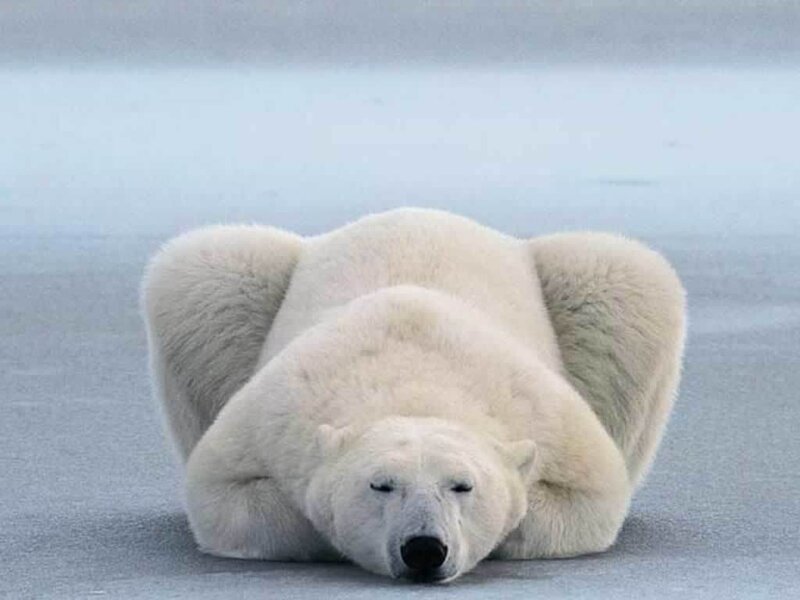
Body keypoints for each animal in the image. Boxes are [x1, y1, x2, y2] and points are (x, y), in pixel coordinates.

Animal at [141, 207, 686, 582]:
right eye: (381, 485)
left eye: (462, 485)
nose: (424, 549)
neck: (417, 382)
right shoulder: (276, 414)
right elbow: (225, 495)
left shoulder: (545, 417)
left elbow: (589, 497)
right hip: (238, 285)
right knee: (206, 269)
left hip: (592, 287)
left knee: (622, 276)